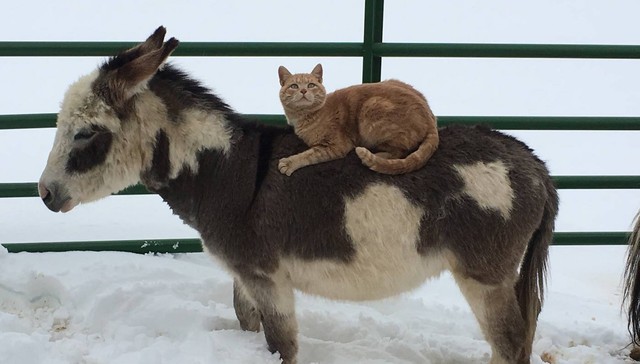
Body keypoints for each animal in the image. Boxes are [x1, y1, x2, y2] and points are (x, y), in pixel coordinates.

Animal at [278, 64, 438, 176]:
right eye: (294, 86)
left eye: (311, 85)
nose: (303, 90)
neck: (303, 117)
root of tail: (430, 116)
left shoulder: (335, 146)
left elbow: (308, 155)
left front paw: (290, 162)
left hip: (371, 110)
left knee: (401, 151)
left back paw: (379, 155)